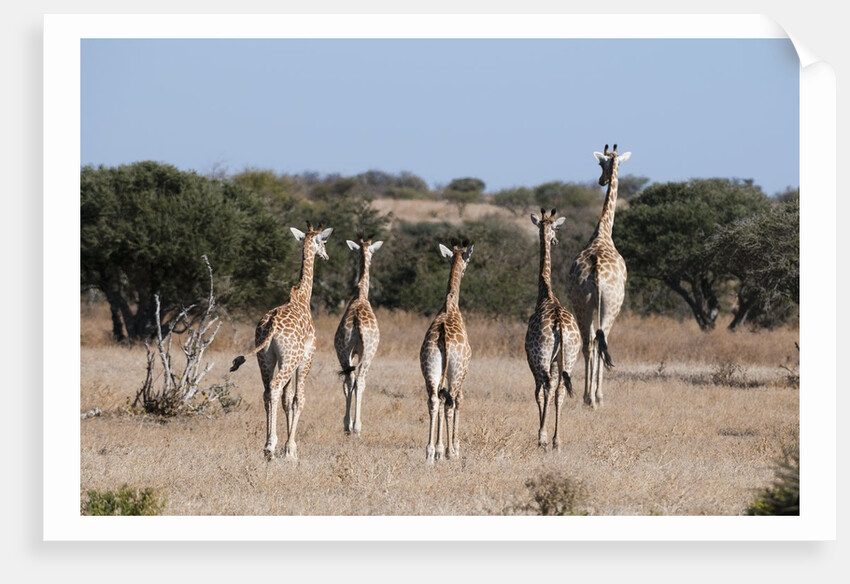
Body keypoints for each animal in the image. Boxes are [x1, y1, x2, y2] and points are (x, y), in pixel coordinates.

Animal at [230, 221, 333, 460]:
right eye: (323, 242)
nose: (326, 256)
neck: (302, 298)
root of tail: (272, 324)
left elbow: (287, 399)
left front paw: (287, 447)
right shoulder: (306, 358)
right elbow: (298, 399)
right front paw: (291, 449)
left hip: (265, 357)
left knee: (267, 391)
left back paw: (268, 446)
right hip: (290, 358)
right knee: (276, 388)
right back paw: (270, 446)